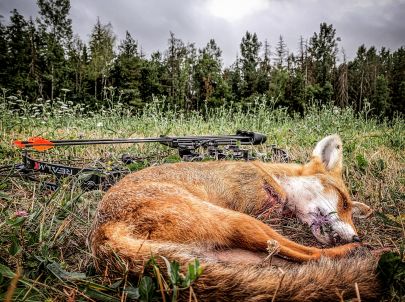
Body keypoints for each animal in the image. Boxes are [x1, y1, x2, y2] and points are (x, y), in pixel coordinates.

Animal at [88, 136, 378, 300]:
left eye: (350, 208)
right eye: (343, 201)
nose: (356, 235)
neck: (272, 182)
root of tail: (101, 235)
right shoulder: (253, 208)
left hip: (232, 254)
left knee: (287, 262)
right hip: (241, 221)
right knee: (307, 253)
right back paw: (362, 252)